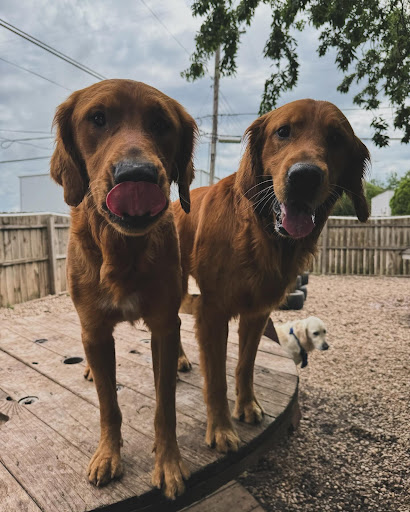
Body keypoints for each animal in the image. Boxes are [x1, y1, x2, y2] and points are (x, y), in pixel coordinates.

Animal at [49, 80, 197, 500]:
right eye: (97, 118)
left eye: (162, 124)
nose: (137, 175)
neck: (122, 249)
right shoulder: (95, 330)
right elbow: (107, 405)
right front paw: (107, 455)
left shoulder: (163, 324)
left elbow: (165, 406)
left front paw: (168, 463)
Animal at [173, 99, 368, 452]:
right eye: (283, 131)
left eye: (336, 139)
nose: (305, 177)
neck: (260, 234)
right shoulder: (213, 313)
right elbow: (217, 379)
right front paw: (221, 430)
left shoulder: (258, 313)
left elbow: (245, 365)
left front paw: (247, 406)